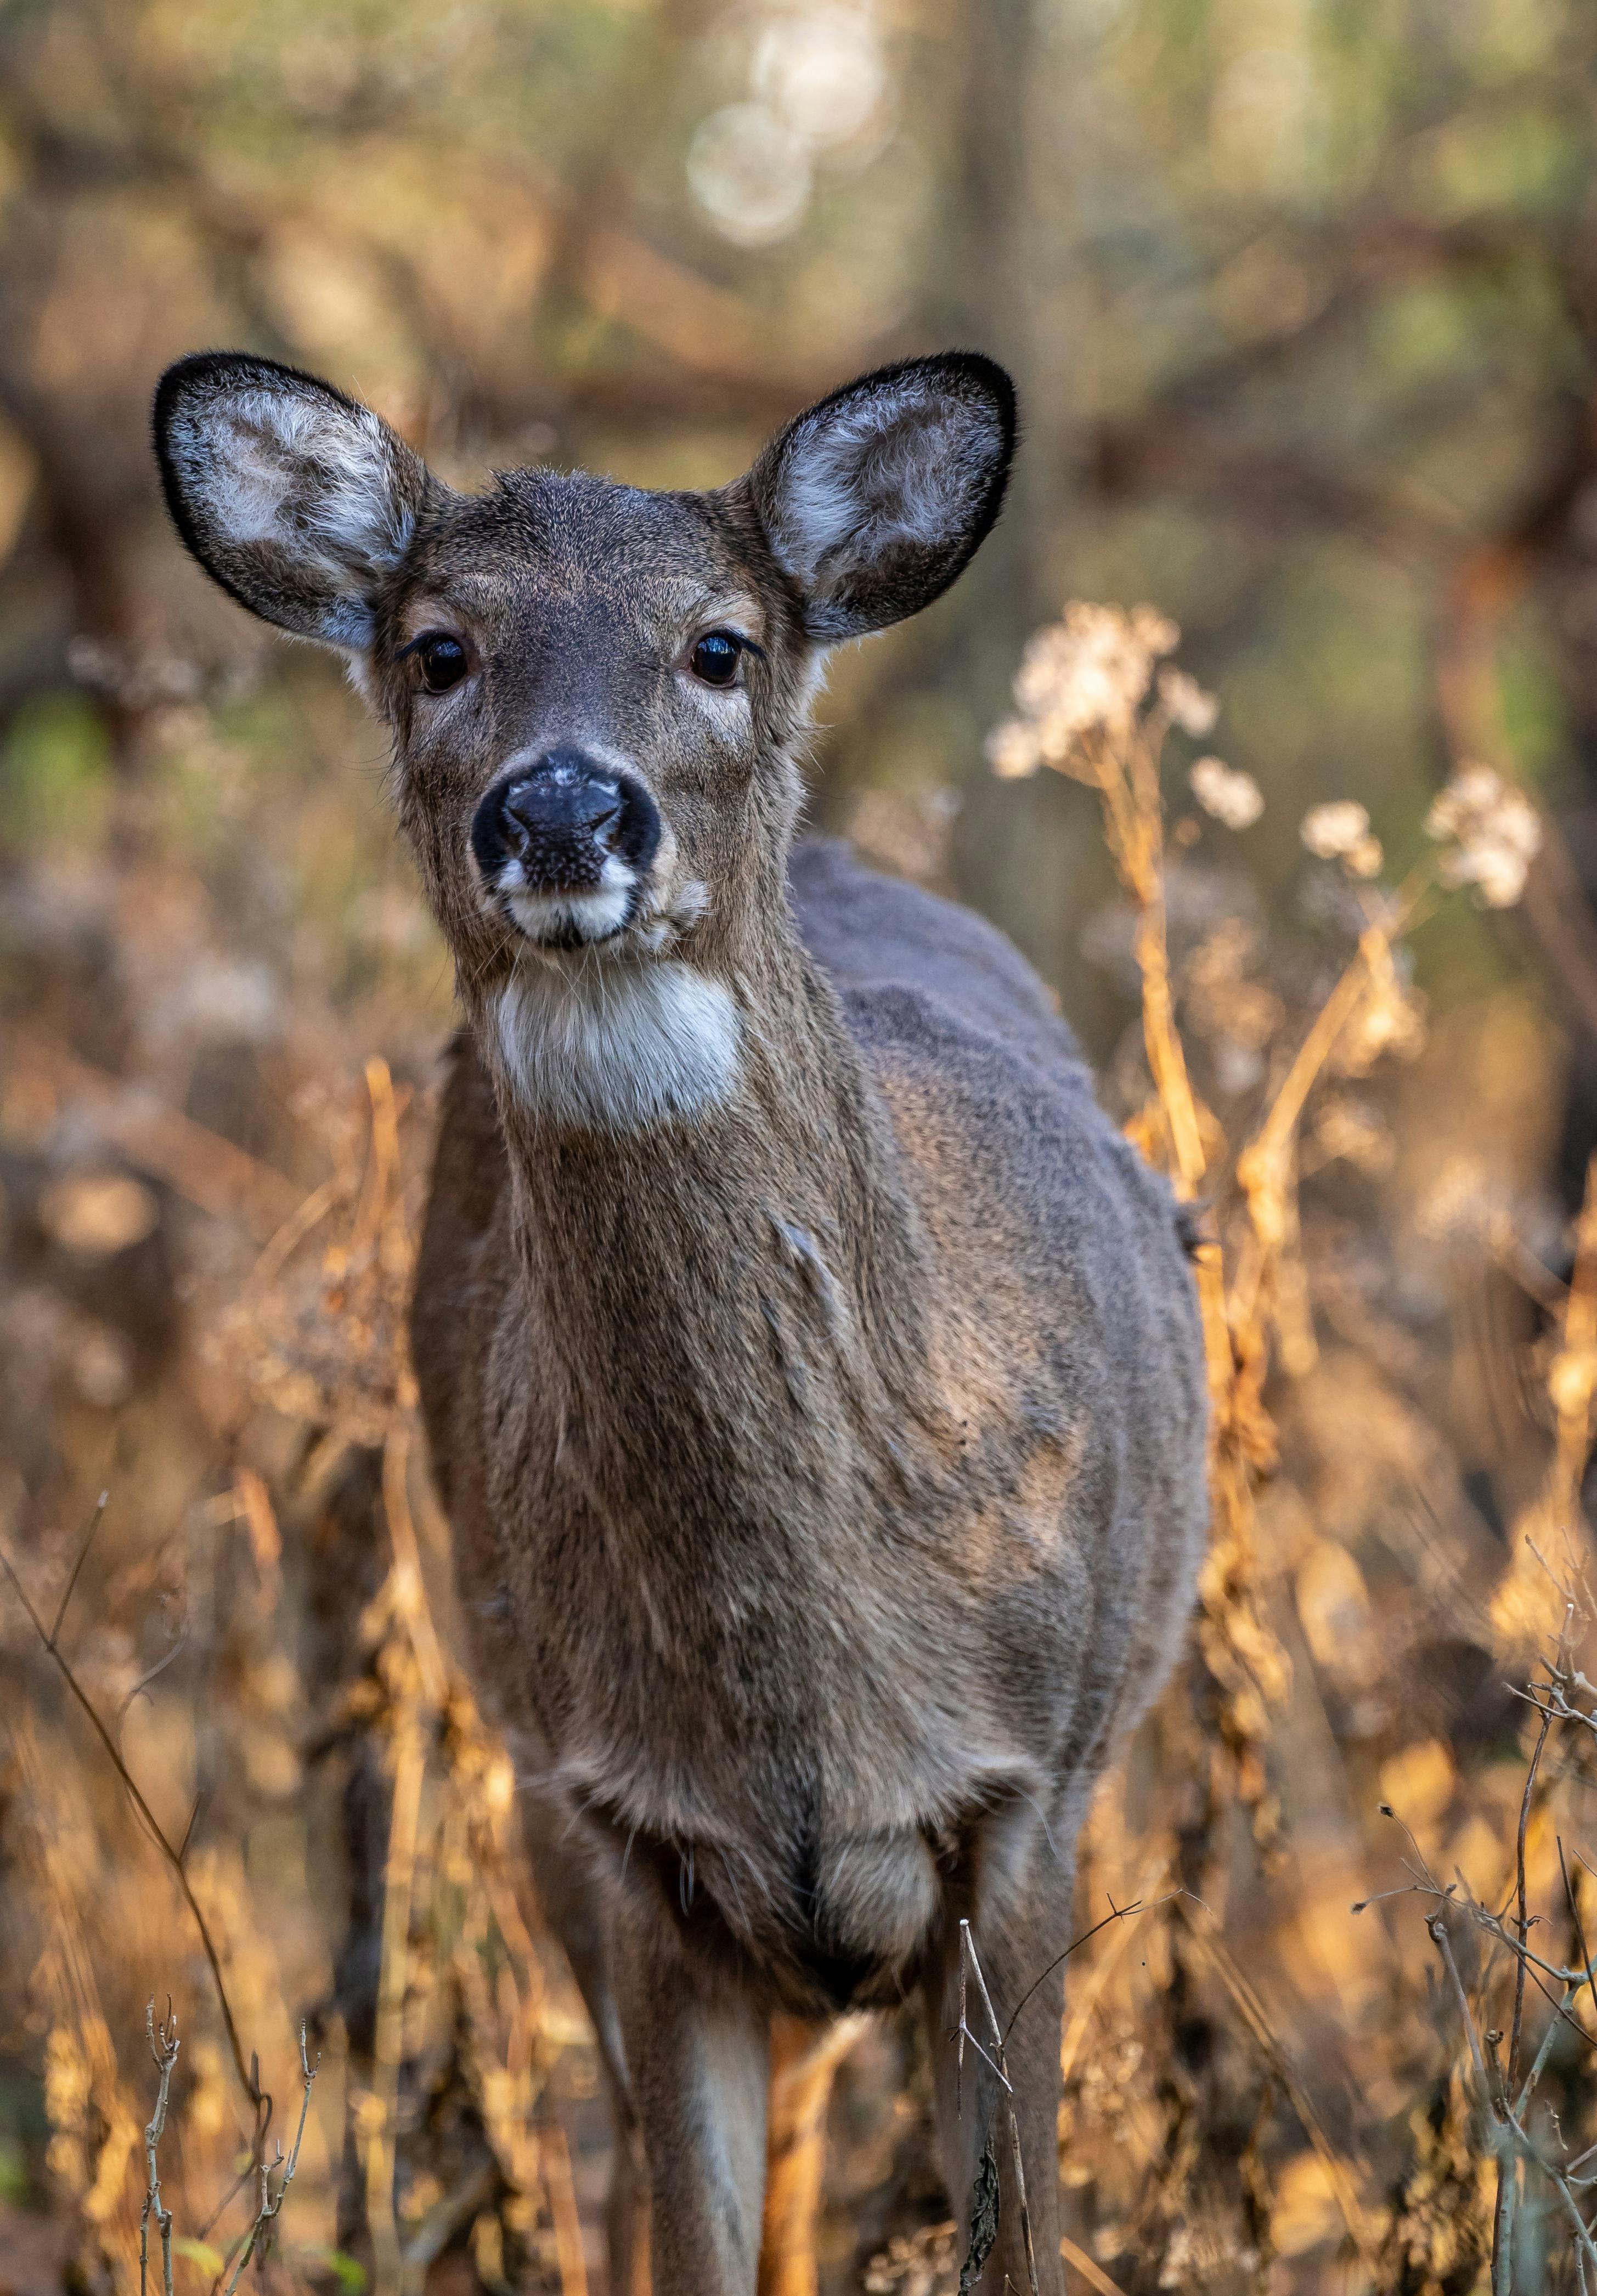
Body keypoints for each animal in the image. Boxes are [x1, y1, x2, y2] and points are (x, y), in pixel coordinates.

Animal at [156, 344, 1213, 2296]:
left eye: (718, 644)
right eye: (439, 646)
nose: (565, 814)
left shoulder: (1034, 1785)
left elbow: (1015, 2239)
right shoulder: (624, 1830)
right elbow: (688, 2243)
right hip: (532, 1788)